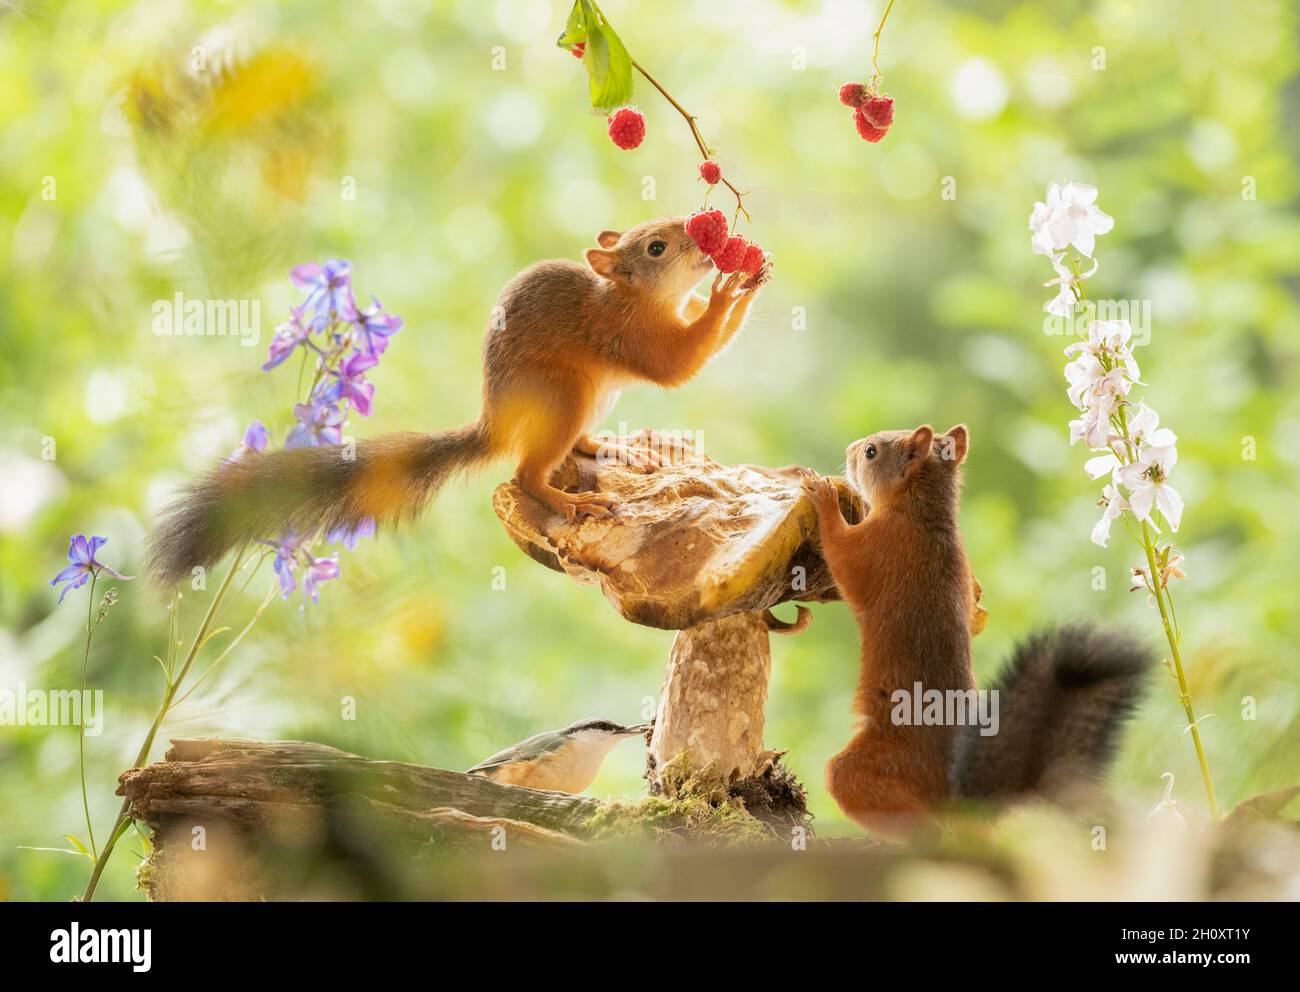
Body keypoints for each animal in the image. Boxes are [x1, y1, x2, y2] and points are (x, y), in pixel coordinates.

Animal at [147, 217, 771, 584]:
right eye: (658, 247)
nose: (703, 240)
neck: (632, 297)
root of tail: (497, 422)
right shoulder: (628, 335)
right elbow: (678, 365)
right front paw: (726, 293)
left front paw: (743, 279)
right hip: (564, 397)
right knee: (526, 474)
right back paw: (567, 499)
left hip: (590, 404)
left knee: (579, 446)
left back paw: (615, 450)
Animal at [800, 424, 1150, 838]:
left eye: (871, 452)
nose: (850, 450)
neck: (921, 513)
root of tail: (958, 791)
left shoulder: (880, 547)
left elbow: (842, 557)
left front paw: (823, 496)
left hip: (880, 766)